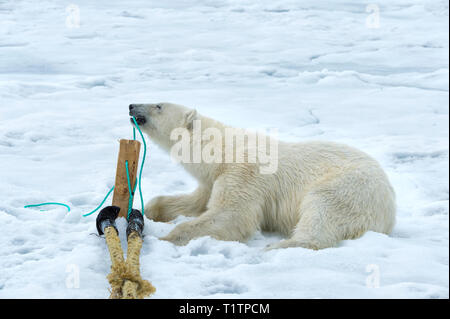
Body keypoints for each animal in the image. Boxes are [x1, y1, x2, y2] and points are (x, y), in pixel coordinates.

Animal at [128, 102, 396, 250]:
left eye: (159, 105)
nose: (131, 105)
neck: (222, 150)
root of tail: (390, 206)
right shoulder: (213, 178)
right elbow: (196, 202)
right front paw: (149, 211)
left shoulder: (244, 172)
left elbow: (232, 214)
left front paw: (165, 238)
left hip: (349, 187)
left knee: (322, 210)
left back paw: (277, 246)